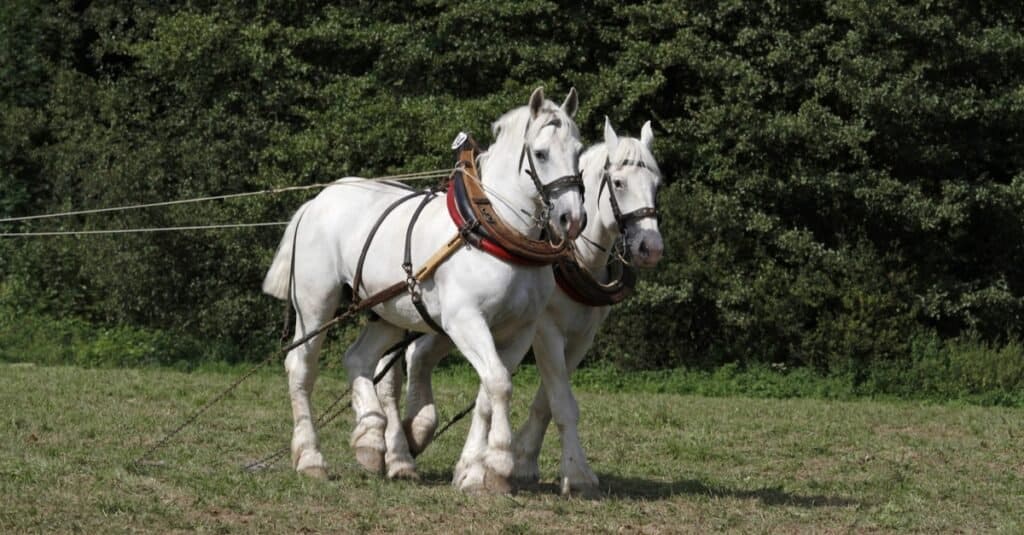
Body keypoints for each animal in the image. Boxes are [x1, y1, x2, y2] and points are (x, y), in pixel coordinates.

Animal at [262, 87, 585, 491]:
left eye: (578, 150)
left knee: (358, 359)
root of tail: (316, 201)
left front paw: (476, 470)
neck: (496, 231)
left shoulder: (519, 330)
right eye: (540, 154)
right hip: (315, 305)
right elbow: (498, 383)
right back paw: (310, 457)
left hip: (386, 311)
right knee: (301, 368)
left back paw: (371, 437)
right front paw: (497, 463)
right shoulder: (465, 320)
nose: (572, 218)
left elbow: (489, 389)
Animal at [376, 118, 663, 494]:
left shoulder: (580, 336)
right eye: (618, 182)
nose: (650, 247)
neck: (574, 259)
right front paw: (576, 474)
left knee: (418, 356)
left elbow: (543, 400)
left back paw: (417, 432)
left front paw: (516, 461)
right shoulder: (544, 331)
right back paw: (394, 454)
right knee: (388, 374)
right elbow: (559, 401)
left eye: (657, 184)